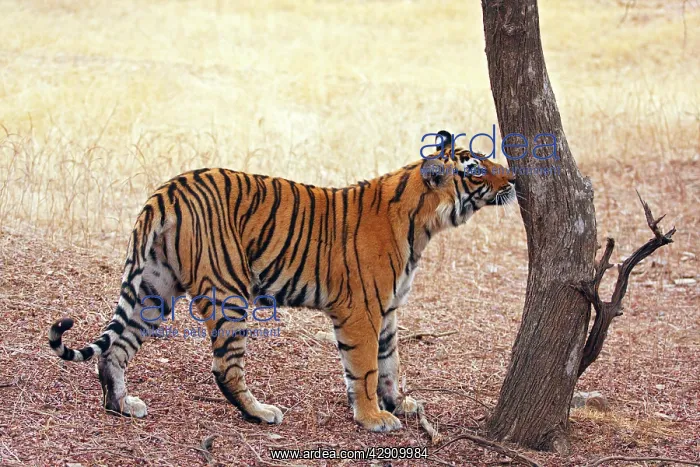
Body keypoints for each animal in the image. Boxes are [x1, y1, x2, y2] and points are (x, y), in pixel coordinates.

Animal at [48, 131, 516, 432]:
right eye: (477, 169)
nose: (514, 179)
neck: (424, 223)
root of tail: (167, 191)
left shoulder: (388, 310)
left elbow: (390, 364)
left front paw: (397, 403)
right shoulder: (362, 311)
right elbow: (365, 368)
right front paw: (373, 418)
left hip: (153, 287)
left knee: (116, 350)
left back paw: (121, 406)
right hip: (228, 292)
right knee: (224, 367)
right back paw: (260, 413)